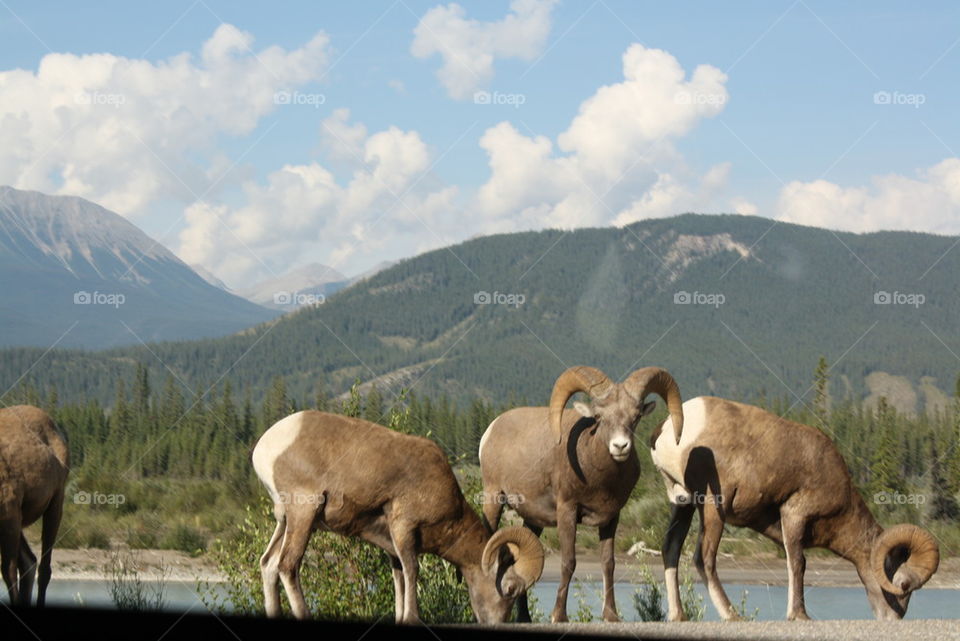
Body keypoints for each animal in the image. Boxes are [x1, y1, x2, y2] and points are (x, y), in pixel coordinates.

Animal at [251, 408, 544, 624]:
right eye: (509, 589)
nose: (496, 623)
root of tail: (264, 449)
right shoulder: (404, 526)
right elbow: (412, 570)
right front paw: (413, 618)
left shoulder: (391, 544)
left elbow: (399, 576)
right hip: (304, 514)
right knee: (287, 565)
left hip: (285, 521)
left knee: (268, 564)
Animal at [478, 368, 684, 624]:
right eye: (599, 416)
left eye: (635, 416)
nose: (620, 446)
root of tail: (490, 431)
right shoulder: (567, 511)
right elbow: (569, 562)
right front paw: (559, 616)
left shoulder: (611, 518)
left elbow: (608, 563)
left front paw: (611, 615)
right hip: (493, 499)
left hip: (533, 521)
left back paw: (525, 618)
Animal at [652, 396, 936, 620]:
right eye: (904, 585)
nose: (893, 619)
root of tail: (668, 433)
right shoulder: (795, 515)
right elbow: (798, 564)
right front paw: (799, 615)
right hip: (712, 506)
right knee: (704, 558)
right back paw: (732, 616)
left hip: (683, 502)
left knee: (671, 550)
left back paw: (678, 616)